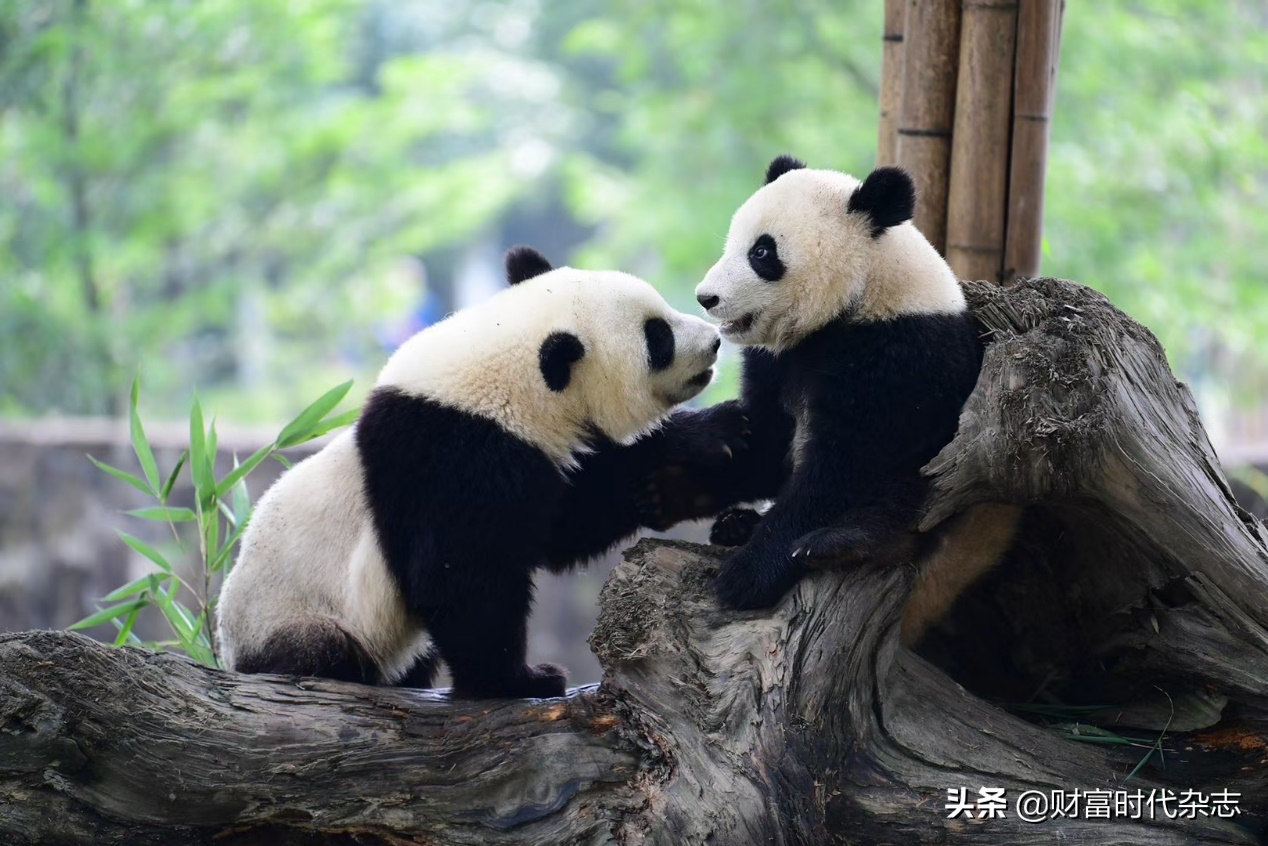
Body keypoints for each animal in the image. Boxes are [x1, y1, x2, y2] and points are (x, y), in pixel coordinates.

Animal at [215, 248, 740, 700]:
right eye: (658, 338)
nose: (714, 341)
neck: (503, 371)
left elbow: (568, 524)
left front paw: (709, 447)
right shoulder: (454, 455)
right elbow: (461, 576)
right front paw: (520, 680)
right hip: (293, 618)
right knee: (323, 650)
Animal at [644, 155, 1019, 644]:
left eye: (761, 253)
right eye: (732, 241)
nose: (707, 297)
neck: (863, 294)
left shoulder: (901, 355)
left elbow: (846, 467)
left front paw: (745, 576)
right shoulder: (779, 361)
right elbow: (763, 444)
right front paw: (670, 485)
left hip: (968, 502)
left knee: (907, 506)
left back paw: (840, 544)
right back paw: (736, 525)